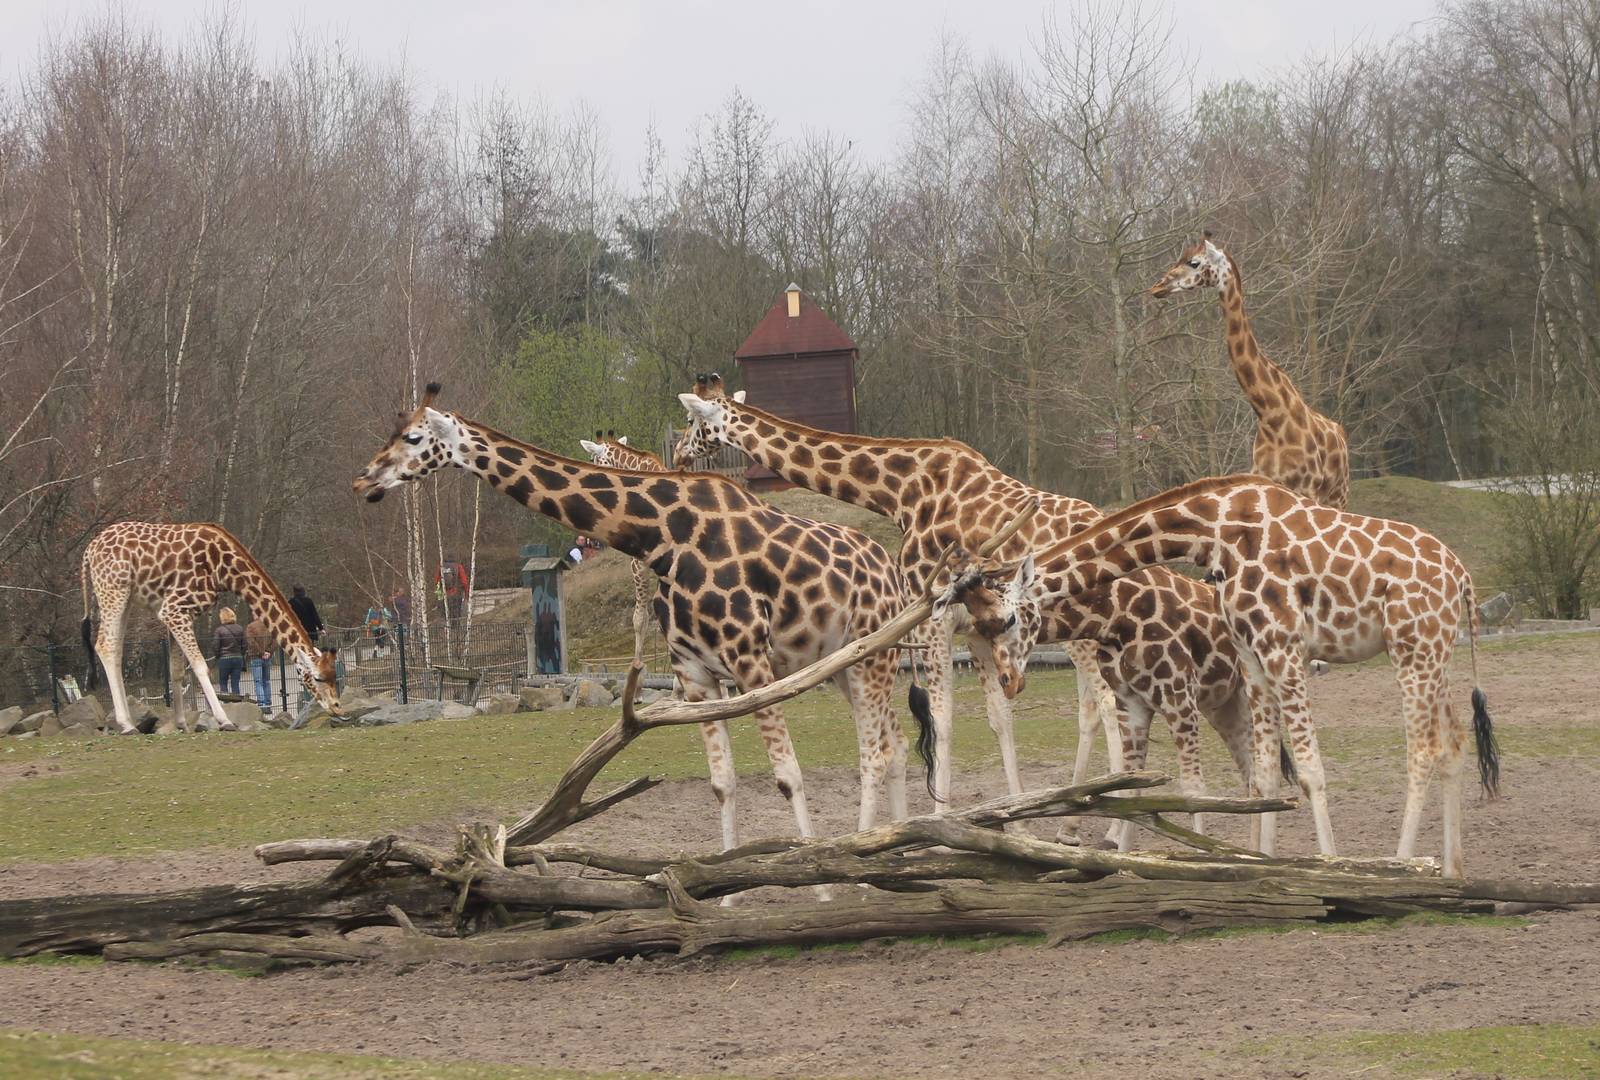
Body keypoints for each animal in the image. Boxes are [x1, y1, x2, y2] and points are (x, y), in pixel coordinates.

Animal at [80, 522, 343, 733]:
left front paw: (182, 724)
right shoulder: (174, 608)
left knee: (115, 649)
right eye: (318, 678)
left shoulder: (176, 613)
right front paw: (225, 721)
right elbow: (200, 666)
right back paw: (126, 725)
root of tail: (89, 550)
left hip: (124, 597)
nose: (338, 707)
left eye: (334, 675)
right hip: (113, 590)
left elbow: (177, 670)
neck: (225, 570)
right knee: (105, 646)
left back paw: (128, 722)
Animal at [676, 374, 1150, 831]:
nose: (680, 455)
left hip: (1083, 634)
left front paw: (940, 824)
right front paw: (1015, 819)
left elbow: (942, 720)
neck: (900, 490)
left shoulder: (931, 618)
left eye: (691, 420)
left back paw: (1113, 824)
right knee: (1100, 706)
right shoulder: (979, 630)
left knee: (1108, 704)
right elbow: (999, 716)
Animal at [954, 473, 1499, 877]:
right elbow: (1264, 774)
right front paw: (1265, 864)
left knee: (1423, 750)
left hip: (1412, 648)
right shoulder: (1252, 657)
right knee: (1453, 743)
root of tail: (1462, 577)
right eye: (979, 625)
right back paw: (1452, 870)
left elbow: (1309, 770)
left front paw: (1331, 864)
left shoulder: (1284, 647)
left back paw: (1404, 864)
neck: (1213, 531)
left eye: (1005, 621)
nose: (1008, 681)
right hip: (1435, 652)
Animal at [1151, 234, 1351, 509]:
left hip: (1338, 496)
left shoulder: (1307, 488)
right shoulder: (1265, 481)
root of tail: (1340, 434)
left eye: (1194, 263)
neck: (1270, 414)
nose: (1156, 287)